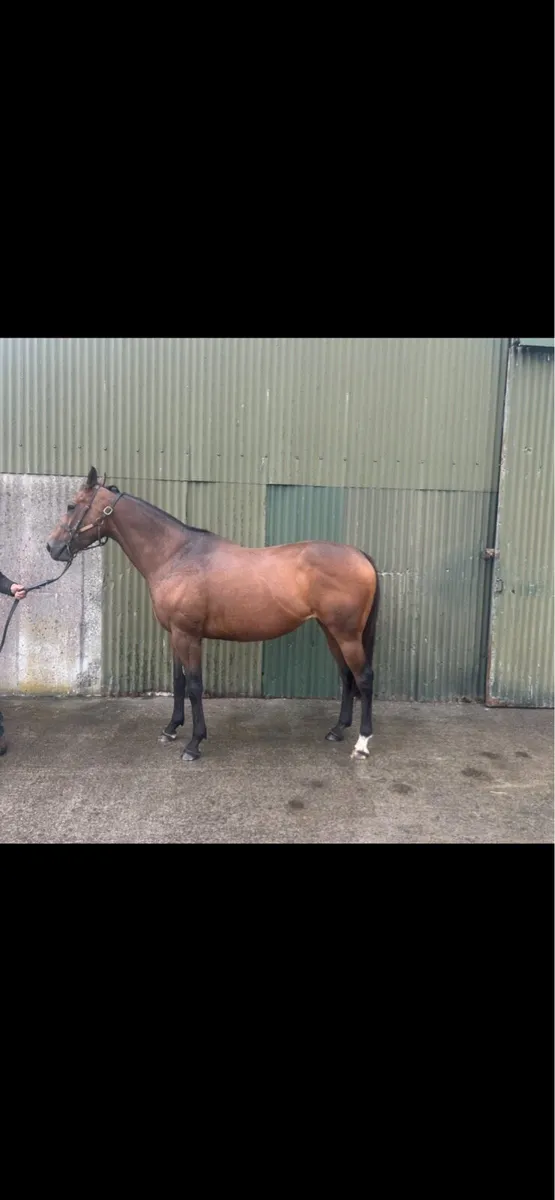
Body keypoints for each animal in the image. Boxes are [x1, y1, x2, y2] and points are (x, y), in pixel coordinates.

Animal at [47, 468, 380, 763]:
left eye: (71, 505)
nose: (52, 547)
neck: (176, 556)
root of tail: (360, 555)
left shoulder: (188, 635)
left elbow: (195, 686)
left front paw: (194, 744)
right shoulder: (175, 635)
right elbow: (179, 682)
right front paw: (171, 729)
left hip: (347, 635)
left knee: (363, 678)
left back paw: (362, 743)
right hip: (331, 631)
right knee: (346, 676)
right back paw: (337, 730)